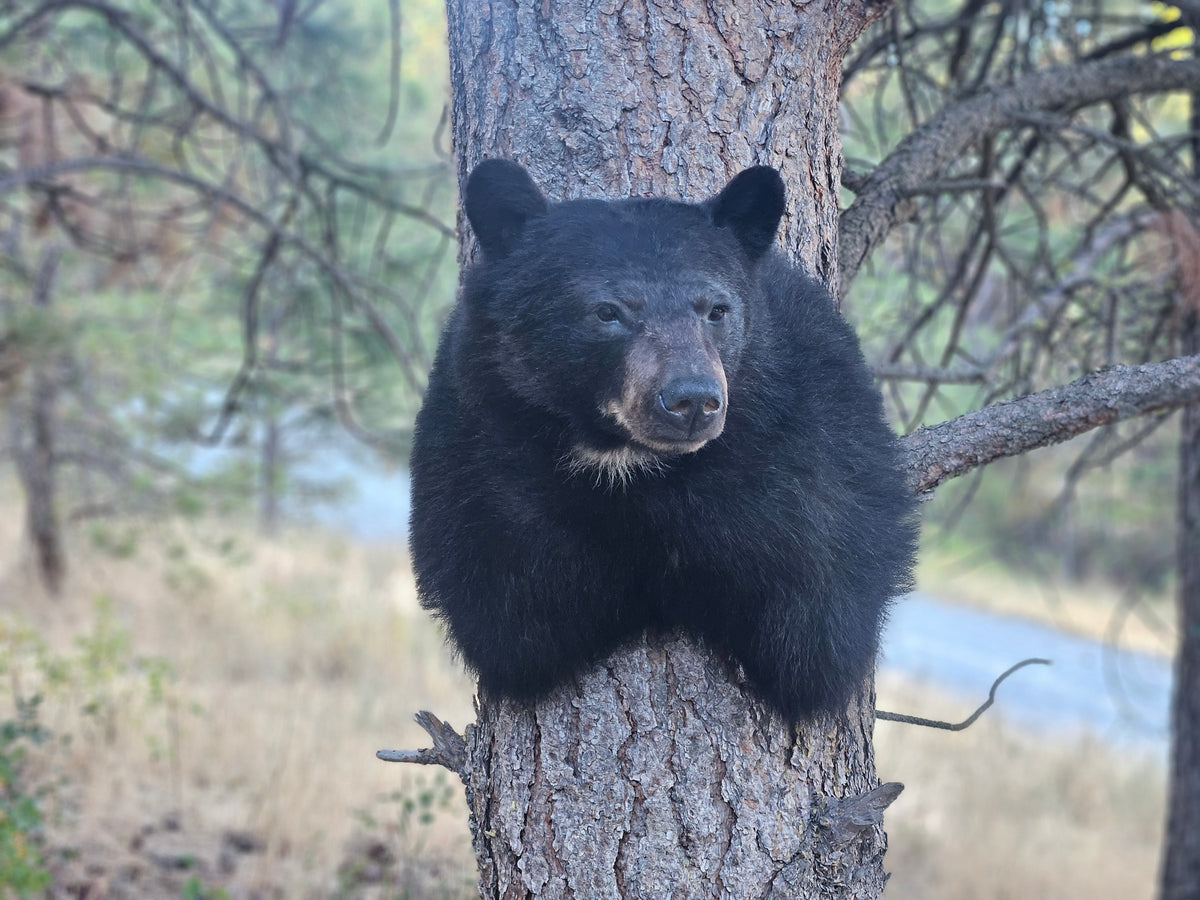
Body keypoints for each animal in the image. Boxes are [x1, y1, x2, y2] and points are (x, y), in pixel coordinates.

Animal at [408, 159, 918, 722]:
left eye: (717, 309)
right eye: (607, 311)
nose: (692, 401)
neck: (626, 462)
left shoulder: (814, 439)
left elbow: (814, 611)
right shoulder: (473, 452)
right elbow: (517, 614)